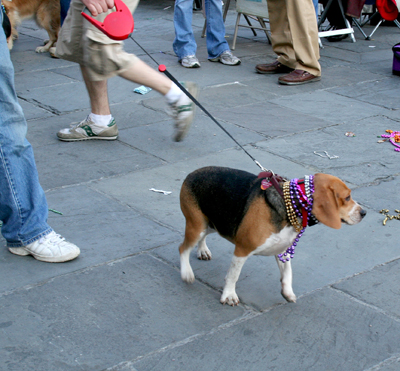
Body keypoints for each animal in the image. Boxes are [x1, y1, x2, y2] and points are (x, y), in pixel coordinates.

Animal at [180, 167, 368, 306]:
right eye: (347, 197)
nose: (364, 213)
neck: (290, 205)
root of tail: (191, 173)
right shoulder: (242, 250)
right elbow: (233, 275)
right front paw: (229, 295)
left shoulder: (283, 249)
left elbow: (288, 274)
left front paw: (287, 293)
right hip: (197, 226)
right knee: (183, 248)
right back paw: (186, 272)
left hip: (212, 224)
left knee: (201, 238)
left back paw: (202, 250)